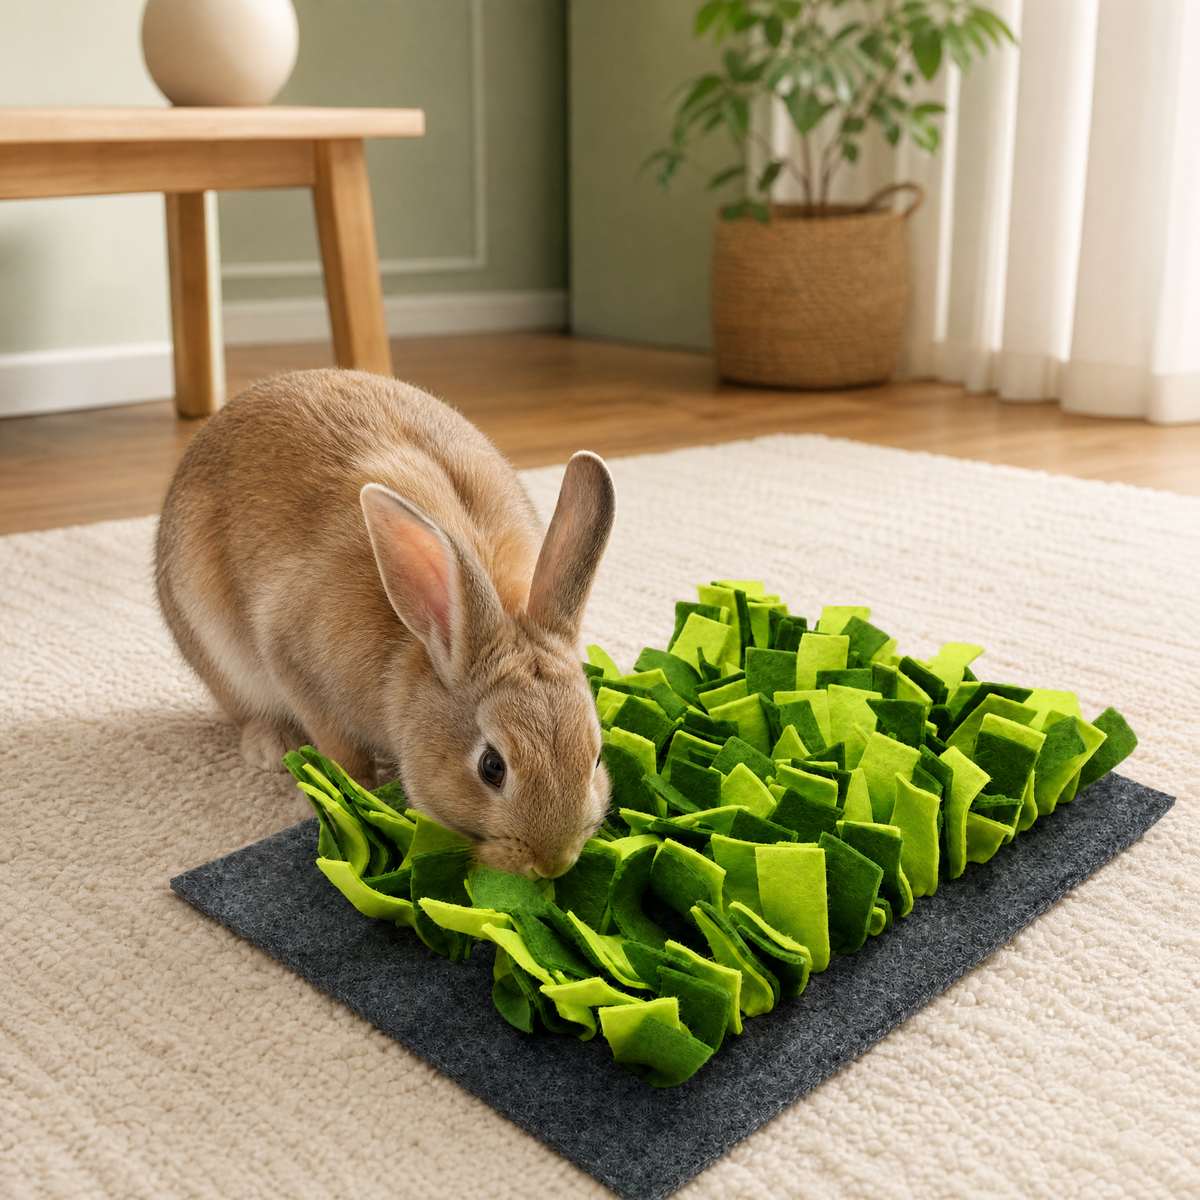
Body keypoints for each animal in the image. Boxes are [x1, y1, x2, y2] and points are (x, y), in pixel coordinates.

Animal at [155, 368, 616, 880]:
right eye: (492, 767)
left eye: (596, 755)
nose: (552, 864)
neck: (425, 645)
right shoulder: (296, 664)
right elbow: (341, 750)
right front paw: (355, 793)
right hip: (218, 651)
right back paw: (271, 746)